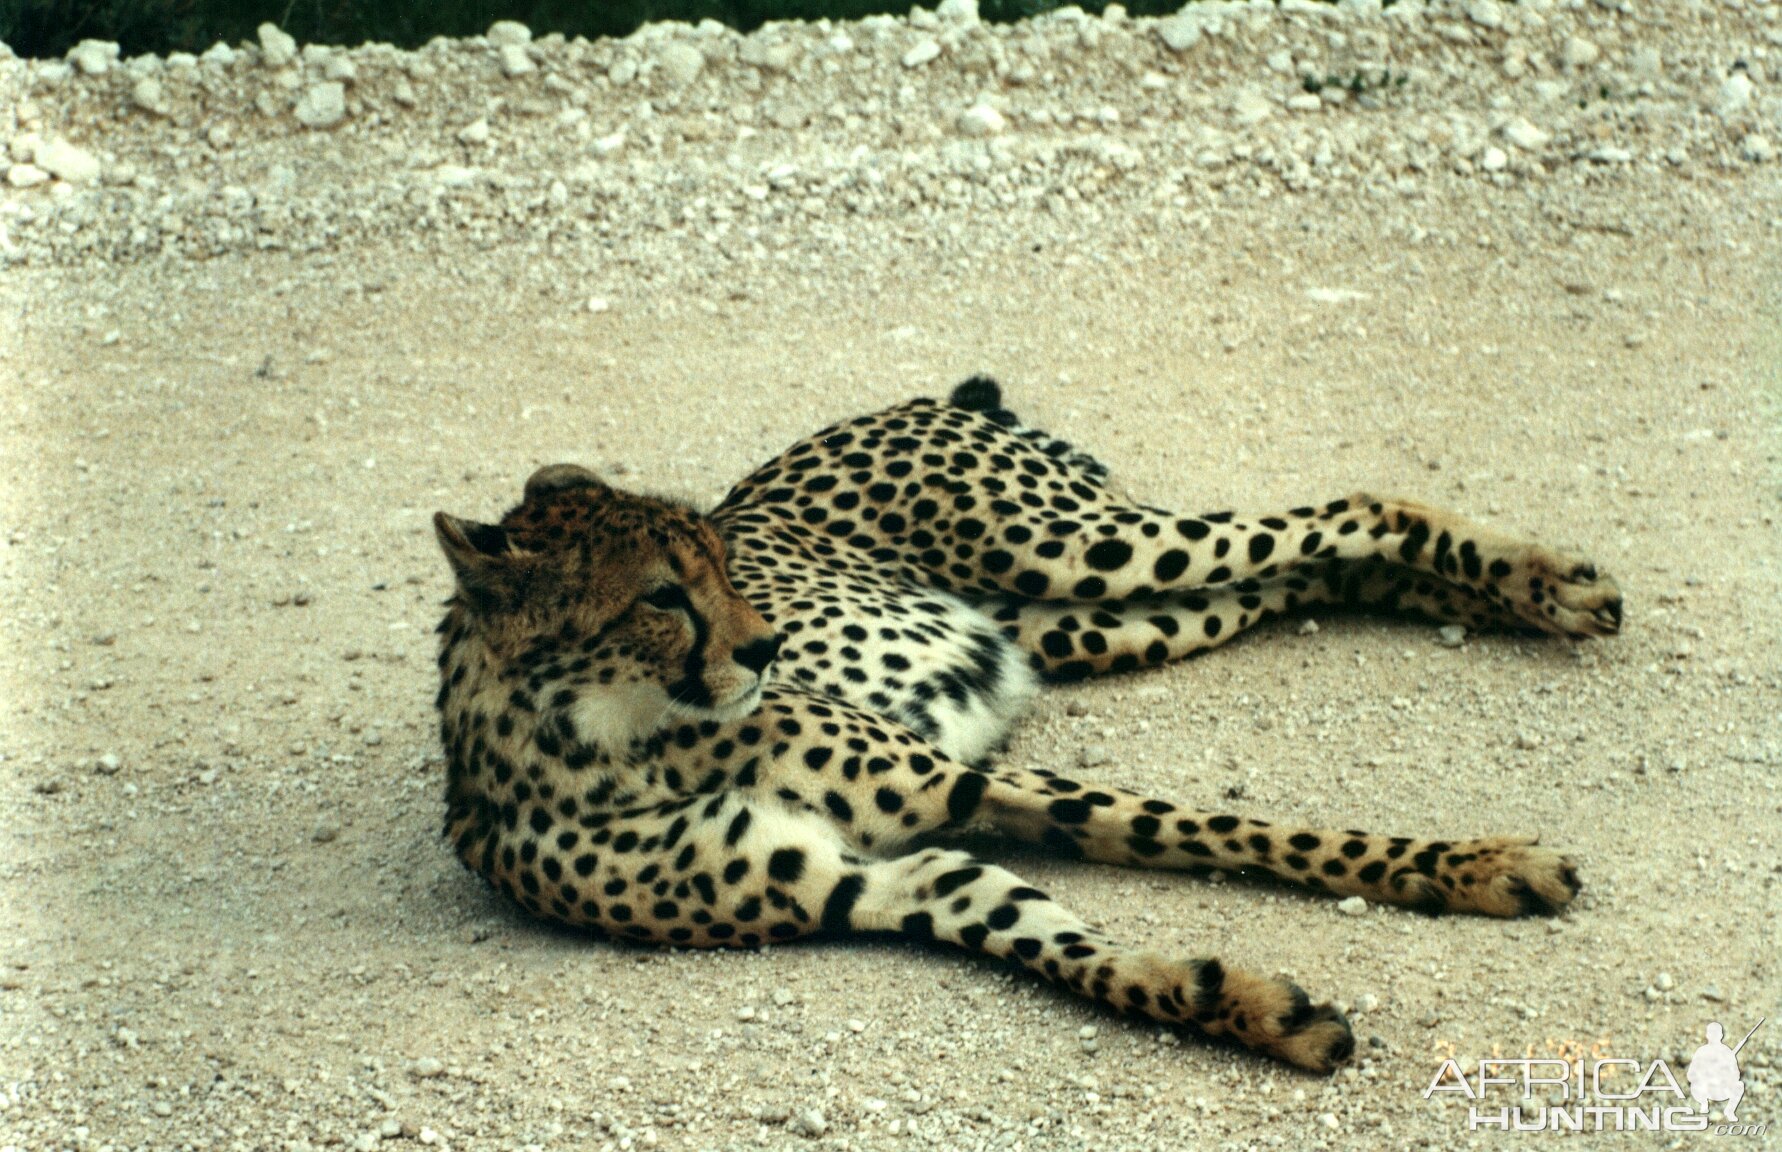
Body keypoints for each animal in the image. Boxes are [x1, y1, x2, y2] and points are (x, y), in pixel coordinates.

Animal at [434, 379, 1632, 1077]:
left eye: (724, 567)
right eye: (659, 597)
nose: (767, 647)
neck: (608, 743)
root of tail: (927, 396)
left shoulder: (953, 784)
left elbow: (1221, 828)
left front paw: (1478, 865)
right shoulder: (884, 881)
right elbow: (1067, 946)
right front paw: (1243, 1006)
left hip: (1085, 550)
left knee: (1350, 511)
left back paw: (1548, 580)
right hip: (1105, 621)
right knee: (1310, 571)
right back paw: (1518, 596)